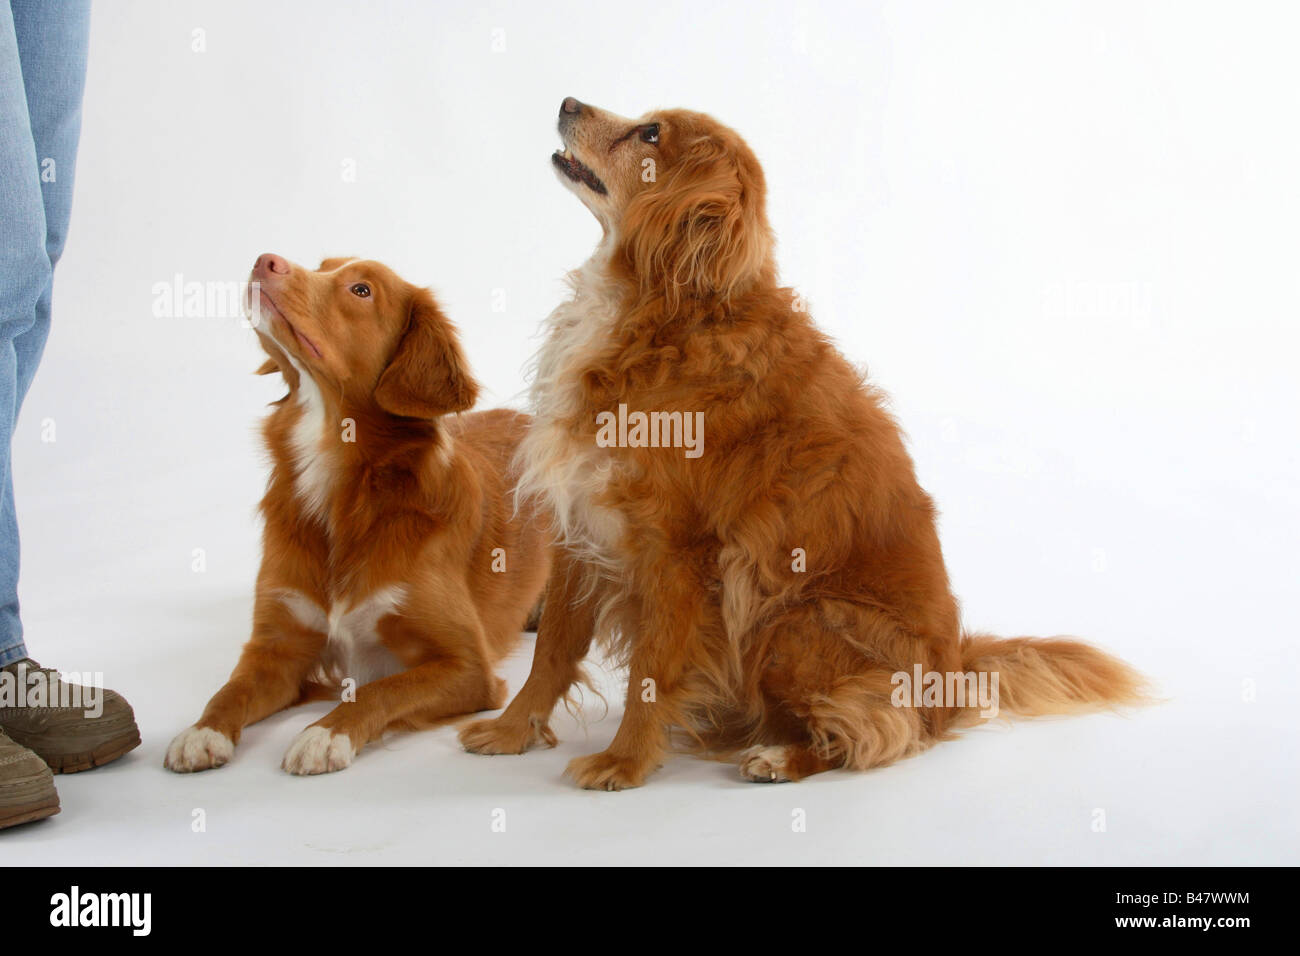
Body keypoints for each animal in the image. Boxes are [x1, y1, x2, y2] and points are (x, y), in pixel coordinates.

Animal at [166, 256, 548, 780]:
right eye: (323, 265)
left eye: (361, 290)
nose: (265, 260)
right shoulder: (276, 647)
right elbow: (230, 688)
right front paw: (202, 731)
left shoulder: (469, 667)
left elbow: (380, 689)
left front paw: (325, 734)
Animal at [460, 97, 1149, 790]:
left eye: (649, 134)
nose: (567, 102)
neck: (668, 311)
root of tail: (952, 676)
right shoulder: (580, 520)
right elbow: (552, 648)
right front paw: (512, 730)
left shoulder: (676, 550)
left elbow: (653, 672)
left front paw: (625, 761)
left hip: (786, 614)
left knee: (872, 731)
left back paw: (780, 756)